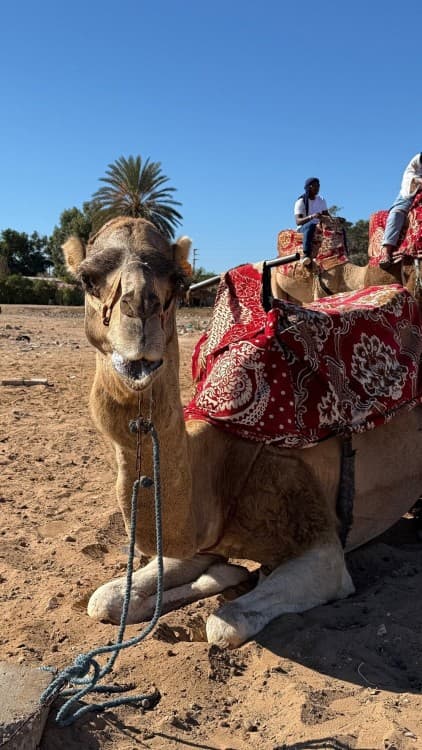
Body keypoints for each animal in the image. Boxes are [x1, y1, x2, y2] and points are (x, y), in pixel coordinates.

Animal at [63, 217, 422, 649]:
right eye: (87, 278)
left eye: (178, 279)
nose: (141, 309)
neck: (221, 466)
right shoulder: (199, 538)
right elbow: (104, 600)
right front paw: (225, 573)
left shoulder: (324, 551)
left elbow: (224, 623)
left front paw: (238, 579)